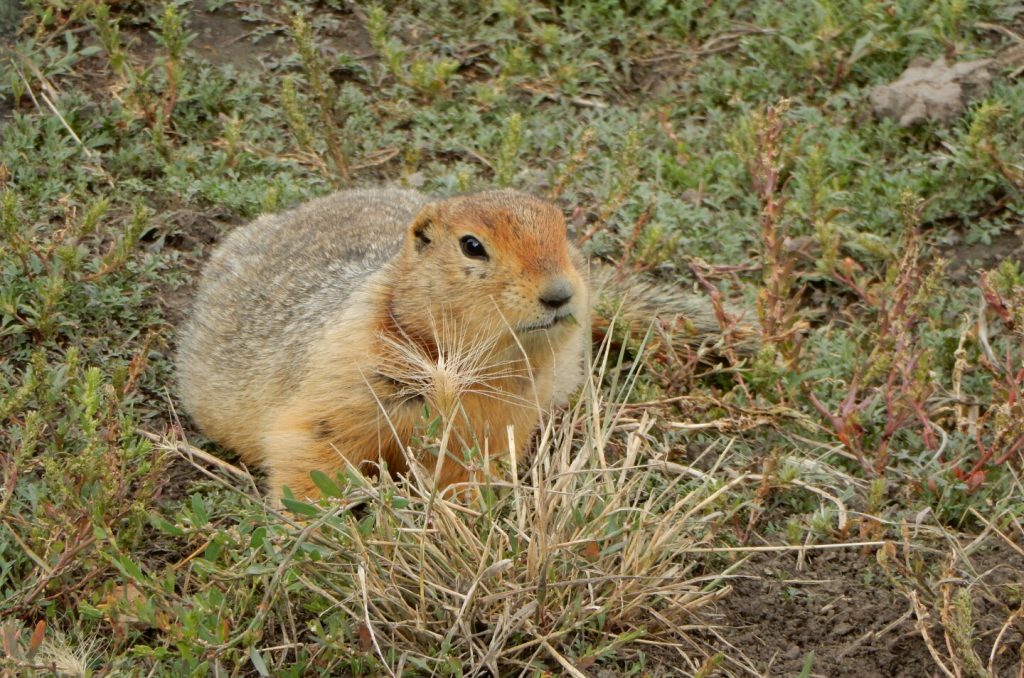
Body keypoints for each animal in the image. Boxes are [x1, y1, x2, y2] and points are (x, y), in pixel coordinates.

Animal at [176, 188, 757, 502]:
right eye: (472, 245)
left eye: (563, 231)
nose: (561, 293)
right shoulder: (344, 375)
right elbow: (311, 447)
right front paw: (317, 524)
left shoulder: (502, 418)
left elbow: (472, 469)